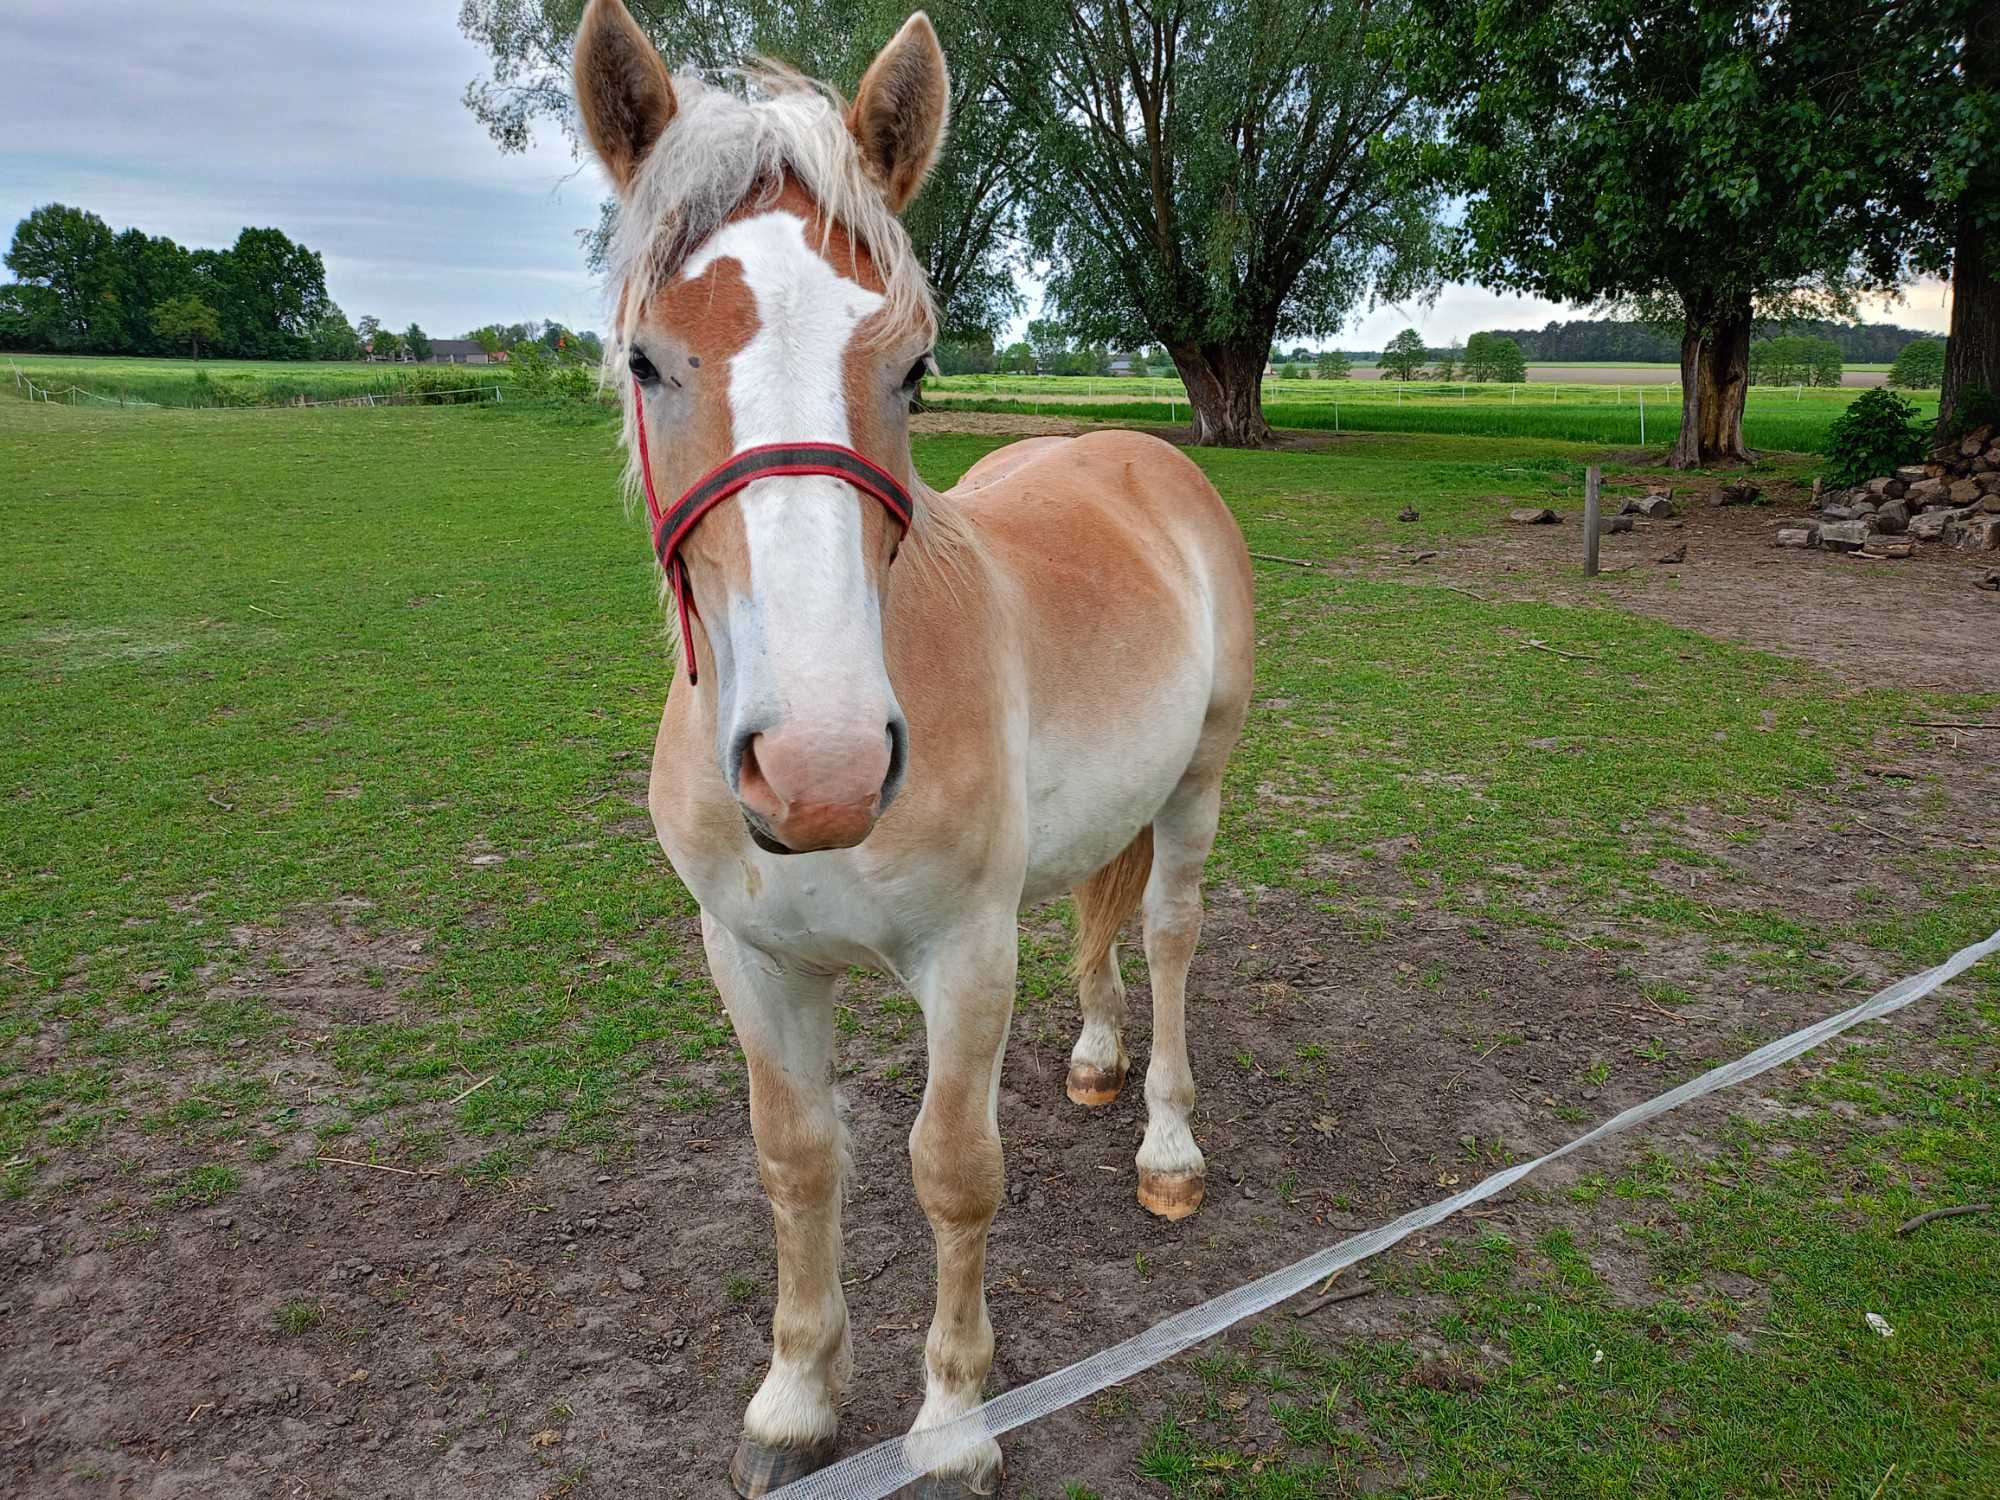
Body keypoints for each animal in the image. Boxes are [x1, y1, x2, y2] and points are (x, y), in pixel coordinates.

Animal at [572, 5, 1248, 1496]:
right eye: (647, 358)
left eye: (914, 366)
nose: (817, 769)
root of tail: (1139, 456)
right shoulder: (751, 961)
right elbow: (796, 1161)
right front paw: (794, 1402)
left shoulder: (963, 955)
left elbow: (952, 1172)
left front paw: (948, 1426)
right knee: (1101, 928)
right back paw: (1097, 1058)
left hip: (1197, 786)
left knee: (1169, 938)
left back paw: (1169, 1139)